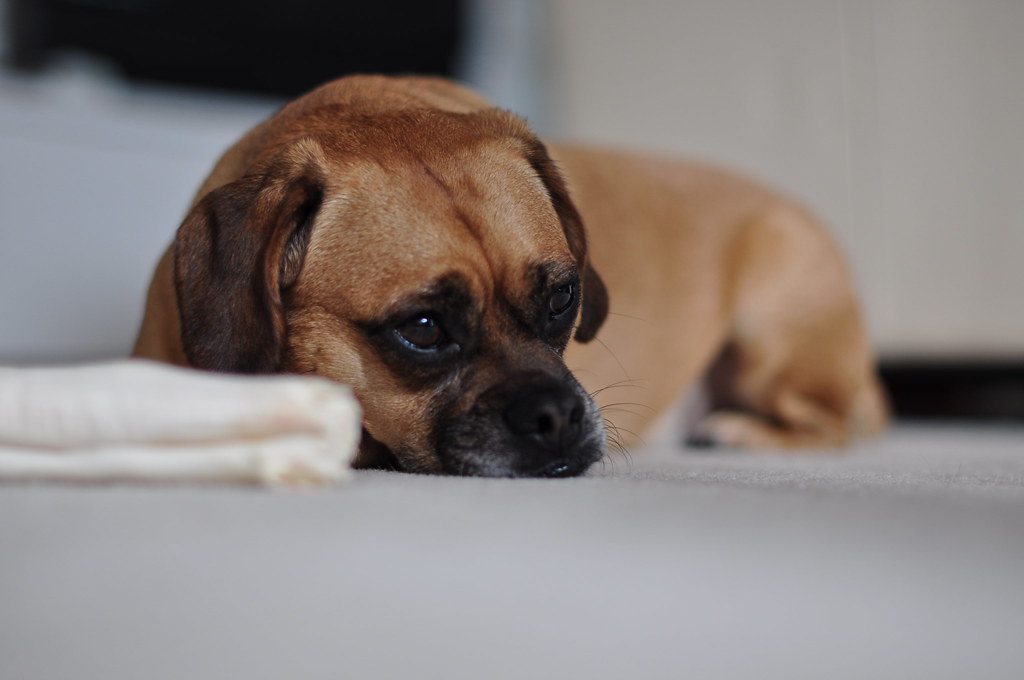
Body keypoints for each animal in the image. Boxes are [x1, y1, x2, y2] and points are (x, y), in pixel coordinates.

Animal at [134, 74, 888, 477]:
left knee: (832, 424)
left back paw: (741, 431)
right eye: (423, 328)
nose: (558, 417)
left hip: (776, 333)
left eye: (562, 298)